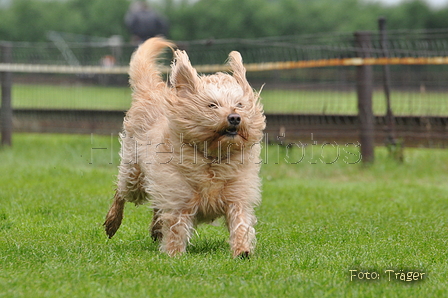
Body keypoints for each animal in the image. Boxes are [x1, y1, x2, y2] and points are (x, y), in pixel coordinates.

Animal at [104, 36, 266, 256]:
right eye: (212, 105)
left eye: (240, 104)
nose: (234, 117)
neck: (212, 158)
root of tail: (151, 91)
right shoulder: (179, 196)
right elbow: (177, 226)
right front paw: (174, 254)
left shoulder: (237, 195)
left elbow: (241, 222)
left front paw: (242, 250)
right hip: (134, 176)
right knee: (121, 192)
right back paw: (112, 221)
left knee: (155, 206)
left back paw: (155, 228)